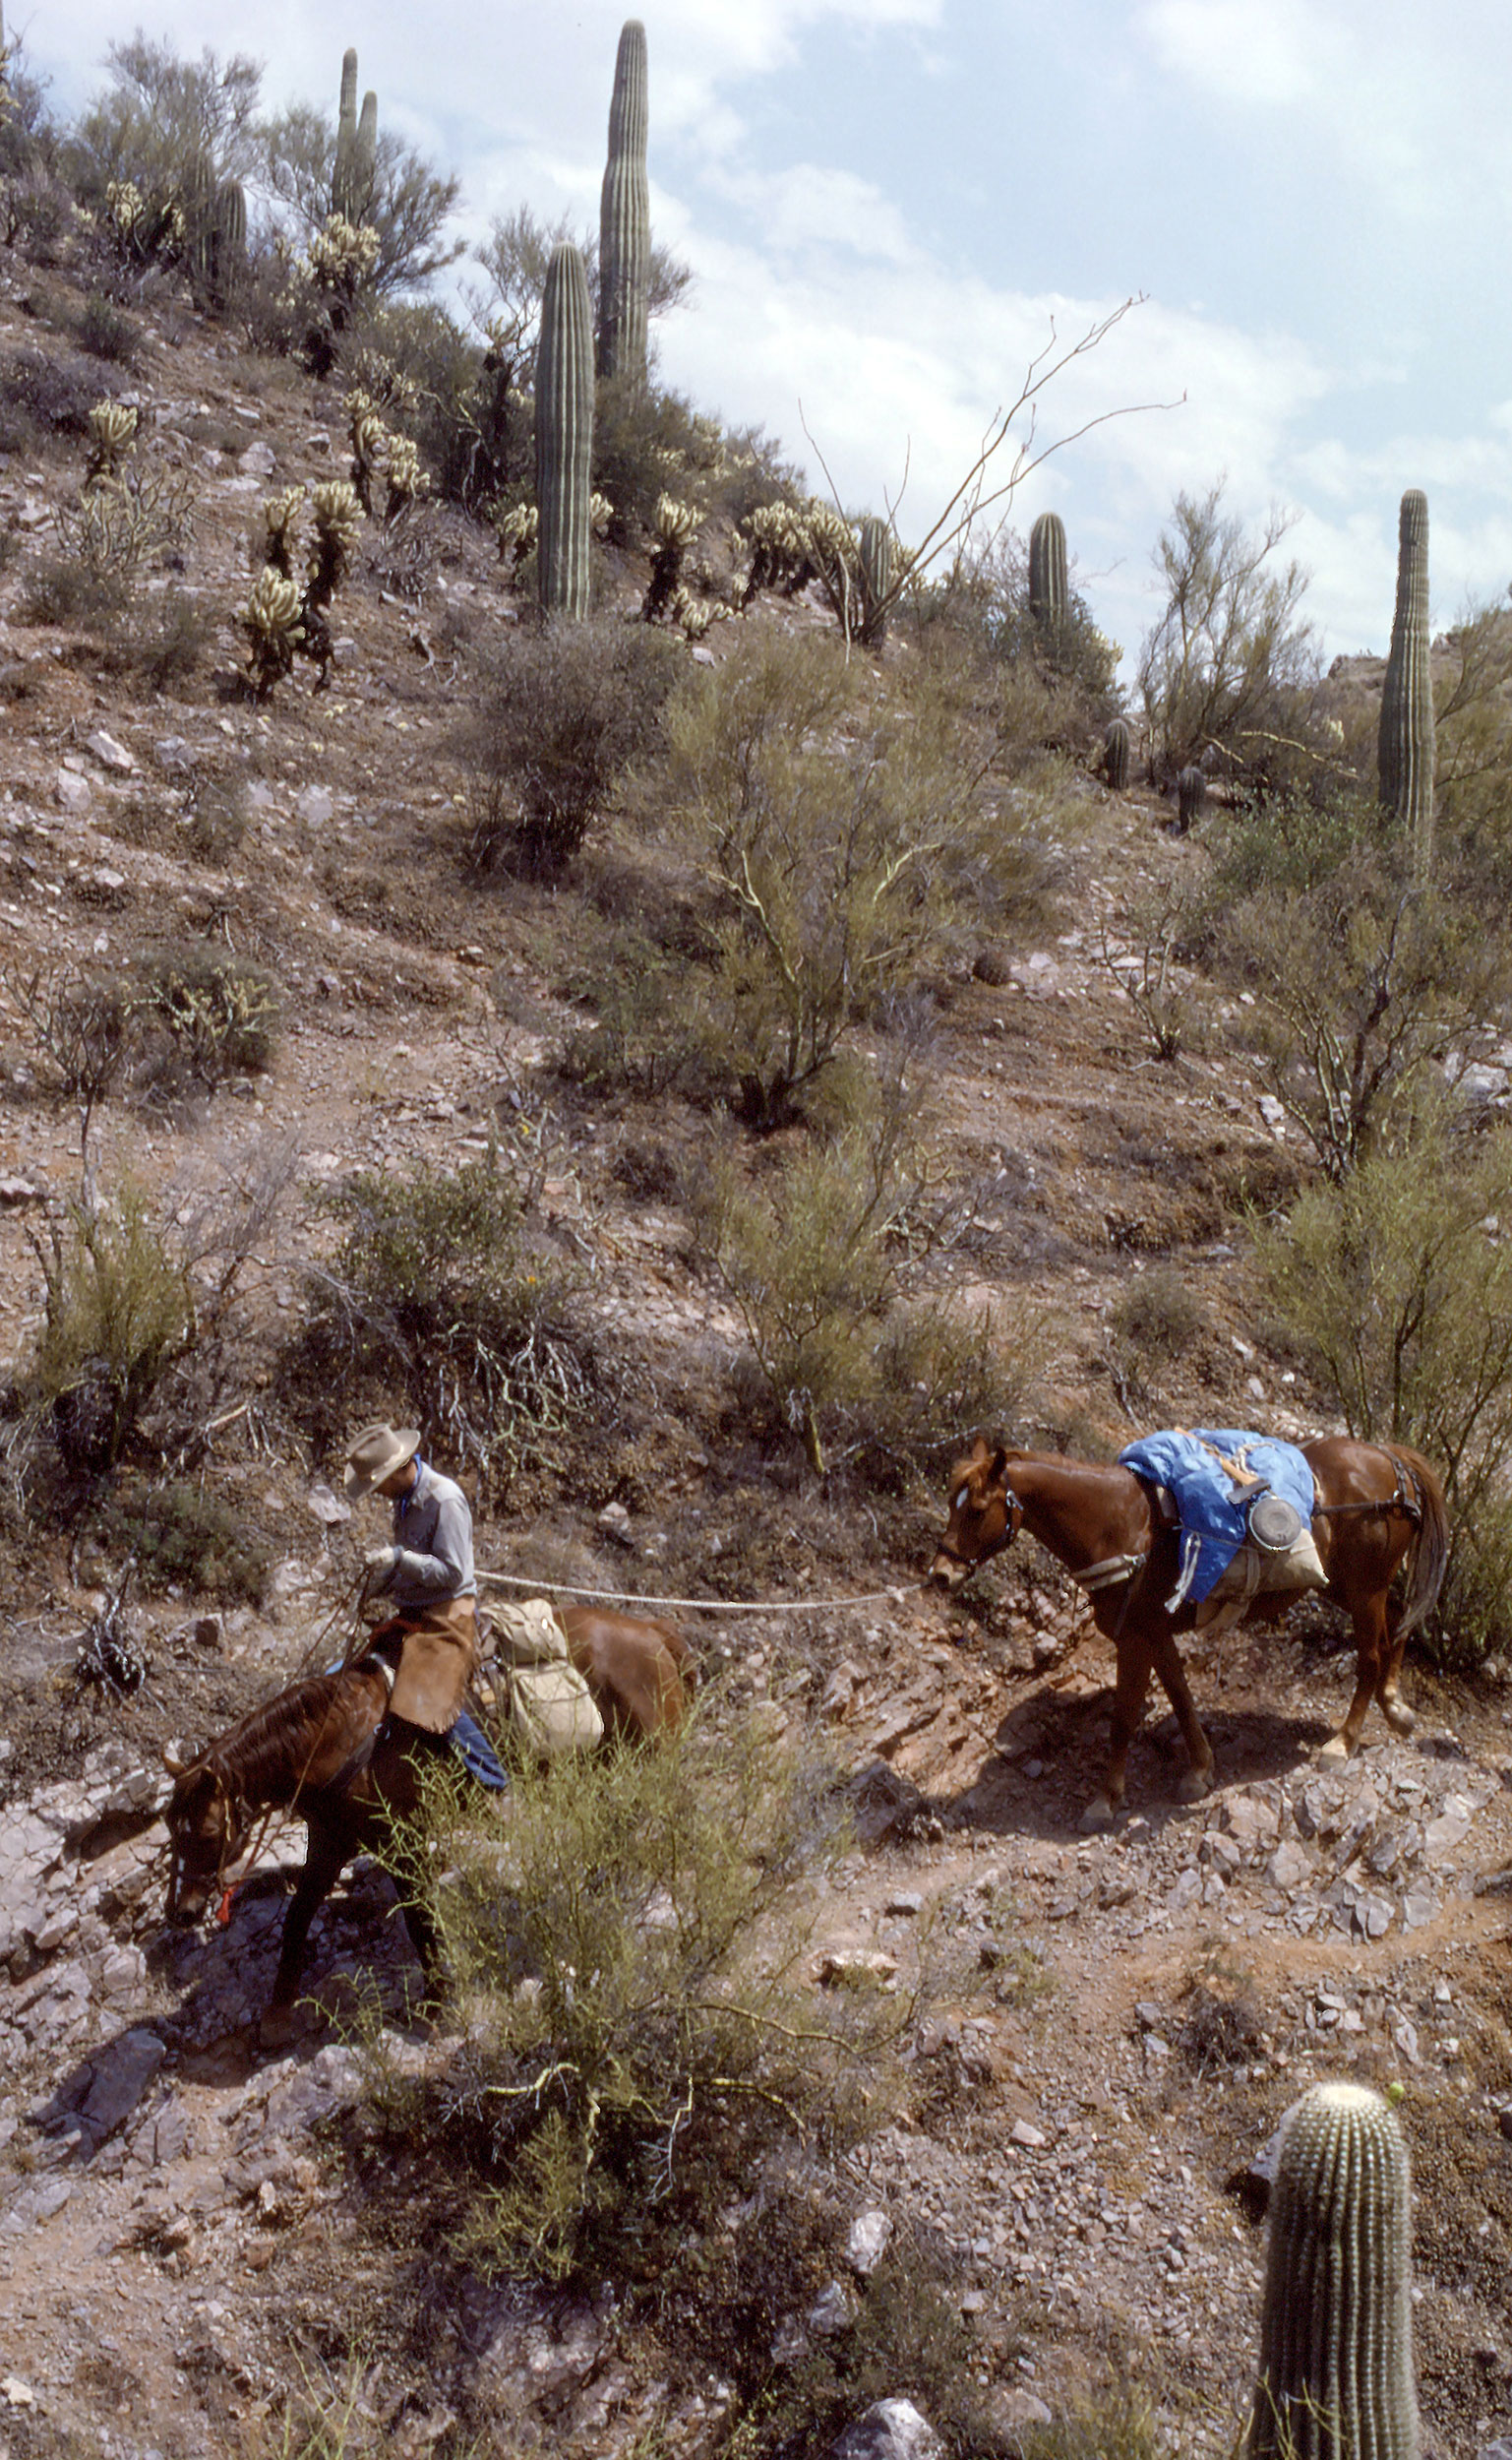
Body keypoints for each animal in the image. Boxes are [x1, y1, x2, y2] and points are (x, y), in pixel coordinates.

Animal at [164, 1594, 688, 2037]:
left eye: (207, 1833)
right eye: (171, 1829)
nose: (181, 1913)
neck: (342, 1738)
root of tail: (654, 1631)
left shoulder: (405, 1844)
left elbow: (419, 1920)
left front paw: (438, 2003)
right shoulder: (332, 1842)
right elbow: (297, 1917)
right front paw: (276, 2016)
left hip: (650, 1758)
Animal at [929, 1437, 1445, 1830]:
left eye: (976, 1509)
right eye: (952, 1502)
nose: (939, 1575)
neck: (1120, 1524)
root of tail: (1389, 1456)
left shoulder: (1135, 1639)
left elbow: (1124, 1719)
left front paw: (1105, 1800)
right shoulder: (1156, 1633)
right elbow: (1180, 1696)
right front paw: (1200, 1769)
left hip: (1363, 1588)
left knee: (1370, 1656)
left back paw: (1343, 1742)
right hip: (1346, 1586)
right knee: (1400, 1619)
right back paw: (1395, 1706)